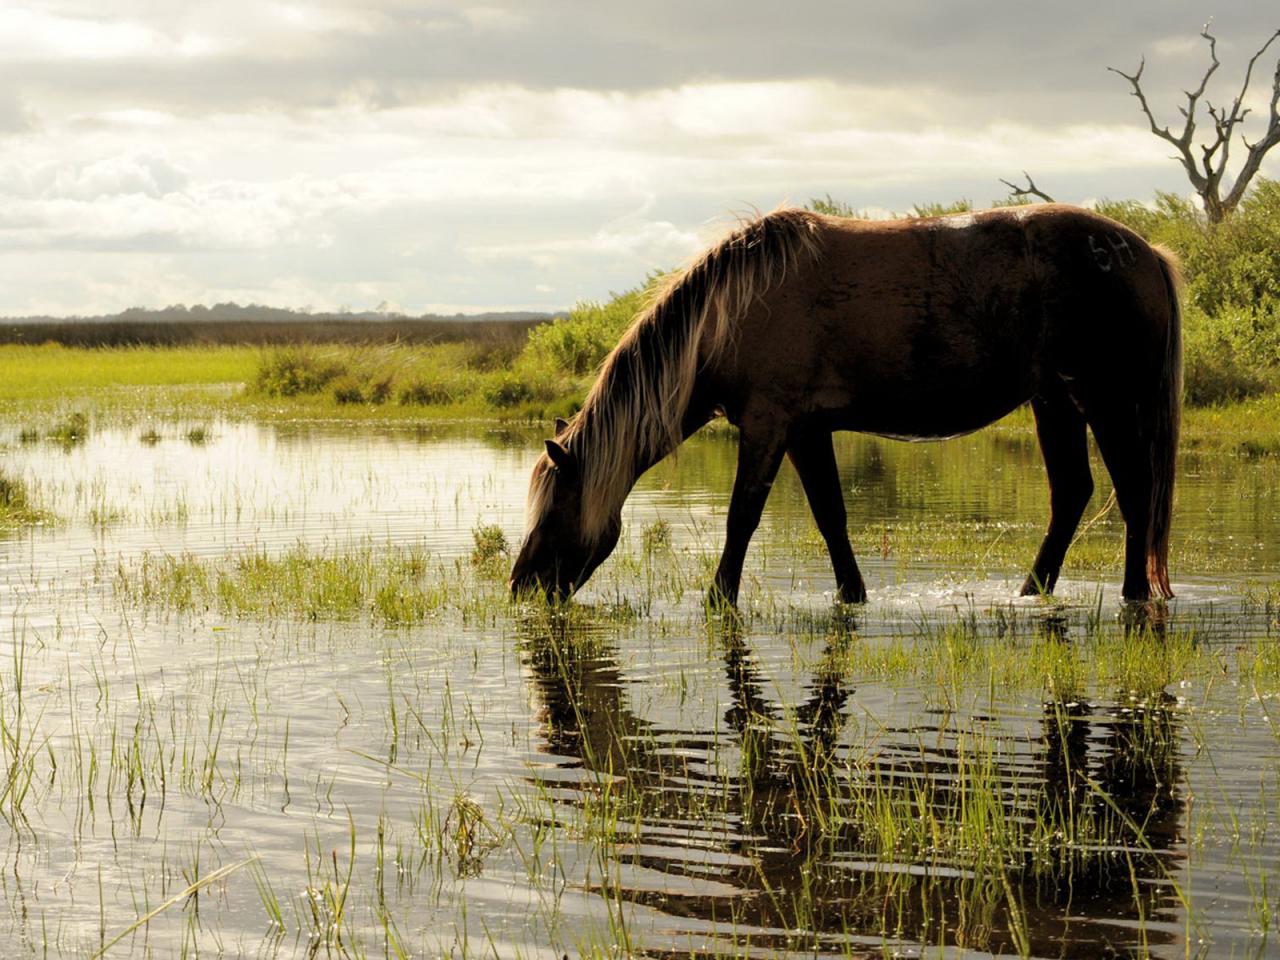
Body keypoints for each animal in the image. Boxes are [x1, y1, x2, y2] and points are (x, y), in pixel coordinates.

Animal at [506, 207, 1177, 604]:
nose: (520, 585)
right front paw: (851, 595)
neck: (730, 312)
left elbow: (741, 517)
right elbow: (831, 516)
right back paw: (1032, 592)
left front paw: (720, 599)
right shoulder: (806, 432)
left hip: (1104, 400)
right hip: (1055, 401)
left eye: (556, 506)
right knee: (1073, 493)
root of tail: (1146, 252)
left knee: (1133, 490)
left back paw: (1132, 594)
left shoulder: (768, 425)